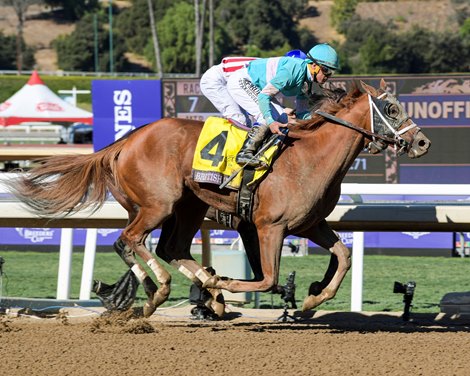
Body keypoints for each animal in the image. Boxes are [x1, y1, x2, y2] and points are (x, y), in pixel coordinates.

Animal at [6, 79, 430, 318]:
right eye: (392, 108)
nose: (423, 142)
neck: (310, 156)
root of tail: (127, 140)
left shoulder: (310, 224)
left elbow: (342, 256)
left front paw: (312, 301)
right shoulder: (268, 226)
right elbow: (268, 280)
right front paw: (224, 284)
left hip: (188, 207)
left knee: (170, 246)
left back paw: (198, 290)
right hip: (158, 204)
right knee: (130, 240)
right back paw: (161, 291)